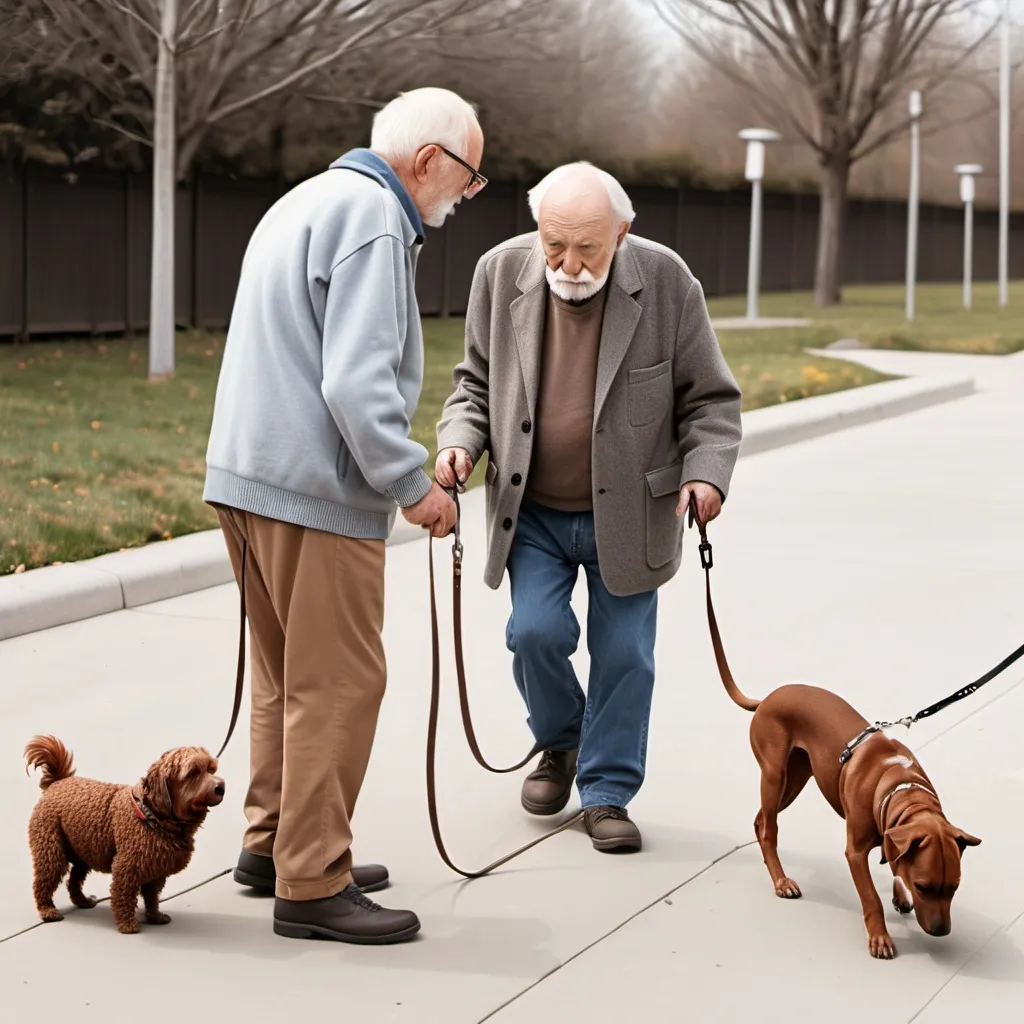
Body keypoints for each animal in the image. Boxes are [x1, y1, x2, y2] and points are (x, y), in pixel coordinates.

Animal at [24, 737, 224, 937]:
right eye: (193, 772)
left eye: (211, 769)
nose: (221, 787)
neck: (152, 814)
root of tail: (57, 782)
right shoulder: (127, 866)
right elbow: (123, 896)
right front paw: (127, 924)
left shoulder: (157, 870)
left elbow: (152, 897)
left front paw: (155, 917)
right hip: (51, 849)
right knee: (43, 880)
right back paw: (47, 910)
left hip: (83, 850)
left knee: (73, 880)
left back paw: (82, 901)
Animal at [716, 679, 978, 958]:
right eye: (922, 887)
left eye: (954, 887)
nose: (941, 931)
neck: (897, 785)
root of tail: (766, 699)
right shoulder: (855, 852)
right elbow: (872, 897)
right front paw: (880, 938)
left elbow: (896, 861)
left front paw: (899, 894)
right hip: (774, 776)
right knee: (769, 830)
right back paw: (781, 881)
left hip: (794, 780)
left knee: (760, 820)